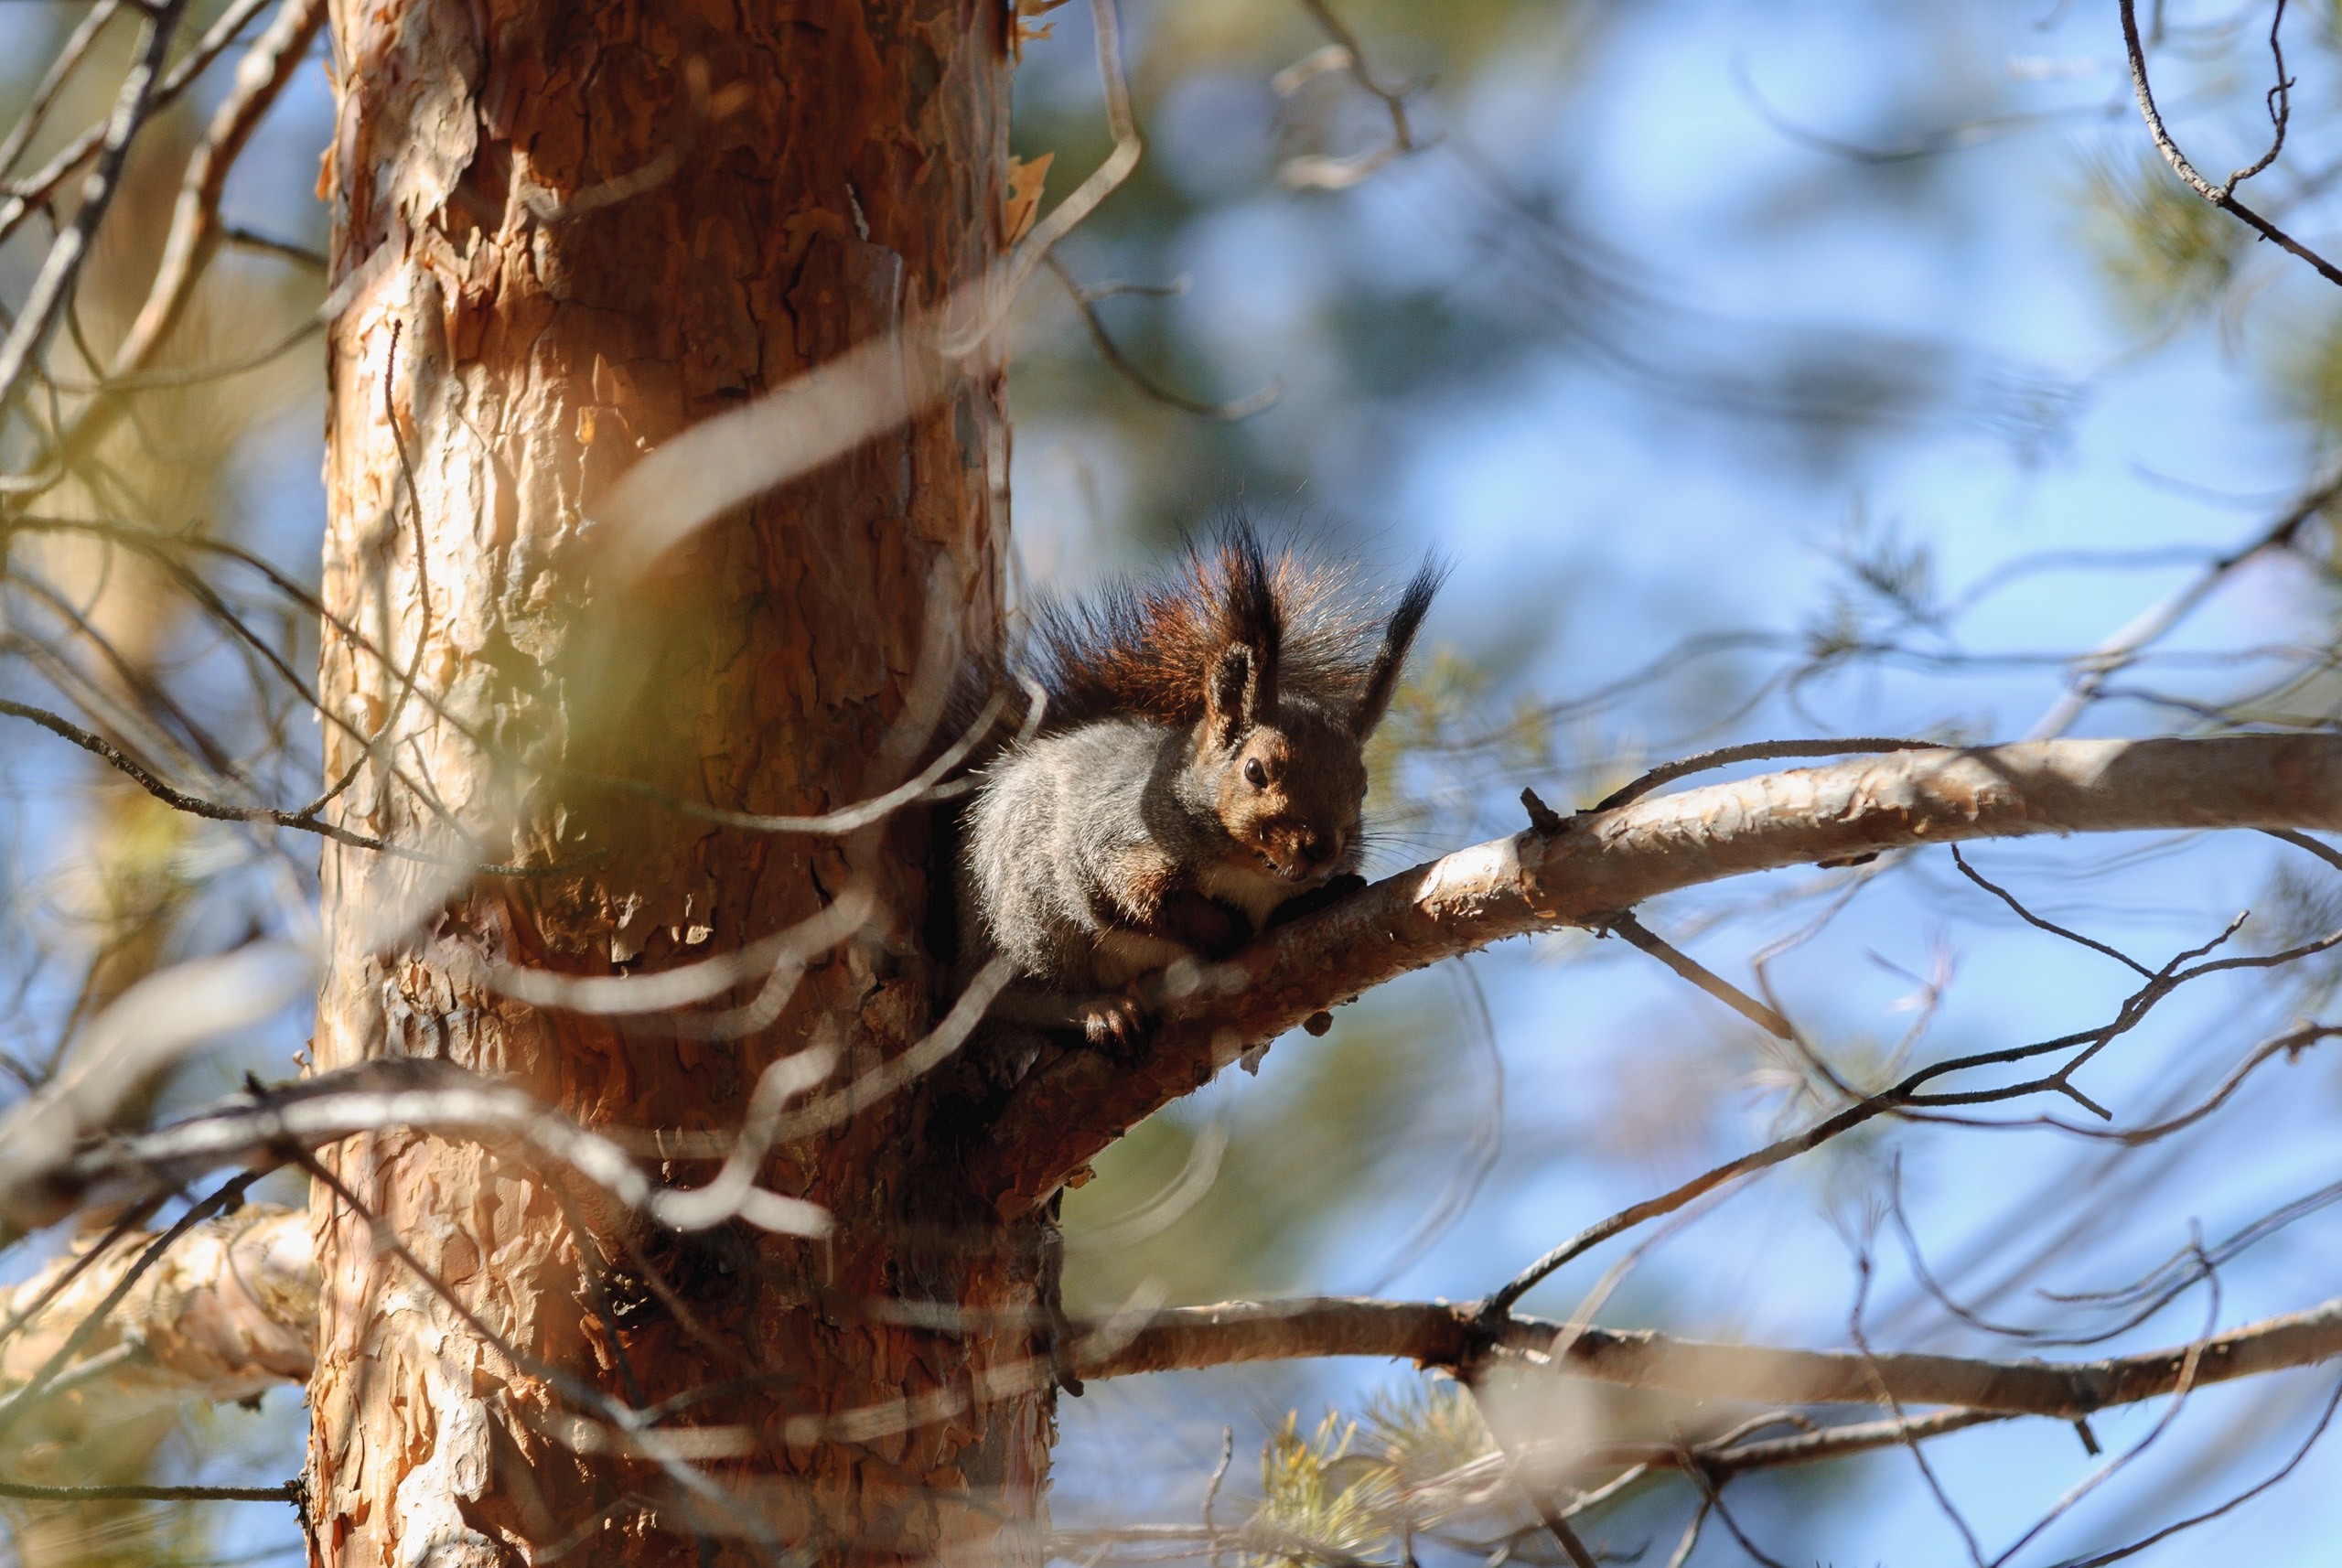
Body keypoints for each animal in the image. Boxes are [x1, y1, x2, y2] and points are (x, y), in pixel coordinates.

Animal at [955, 529, 1433, 1058]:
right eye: (1255, 771)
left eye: (1363, 786)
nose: (1321, 849)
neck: (1250, 870)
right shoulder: (1114, 842)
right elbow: (1141, 901)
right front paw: (1225, 929)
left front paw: (1324, 895)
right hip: (1029, 915)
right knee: (1033, 994)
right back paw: (1097, 1009)